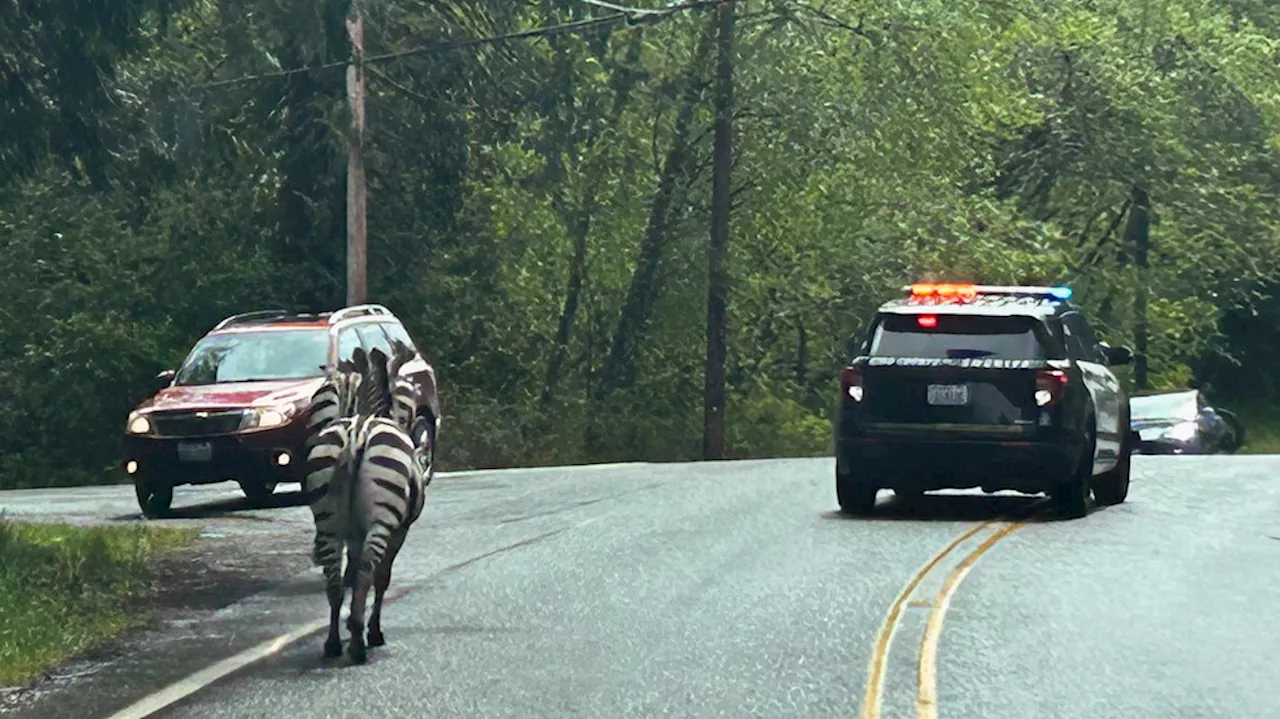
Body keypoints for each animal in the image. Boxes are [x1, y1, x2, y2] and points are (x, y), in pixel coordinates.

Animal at [304, 345, 430, 665]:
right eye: (406, 396)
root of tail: (356, 434)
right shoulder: (400, 530)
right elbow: (382, 578)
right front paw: (372, 631)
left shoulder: (353, 533)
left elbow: (350, 571)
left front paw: (353, 625)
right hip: (382, 520)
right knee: (365, 574)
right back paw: (360, 645)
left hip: (328, 521)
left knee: (334, 580)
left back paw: (334, 643)